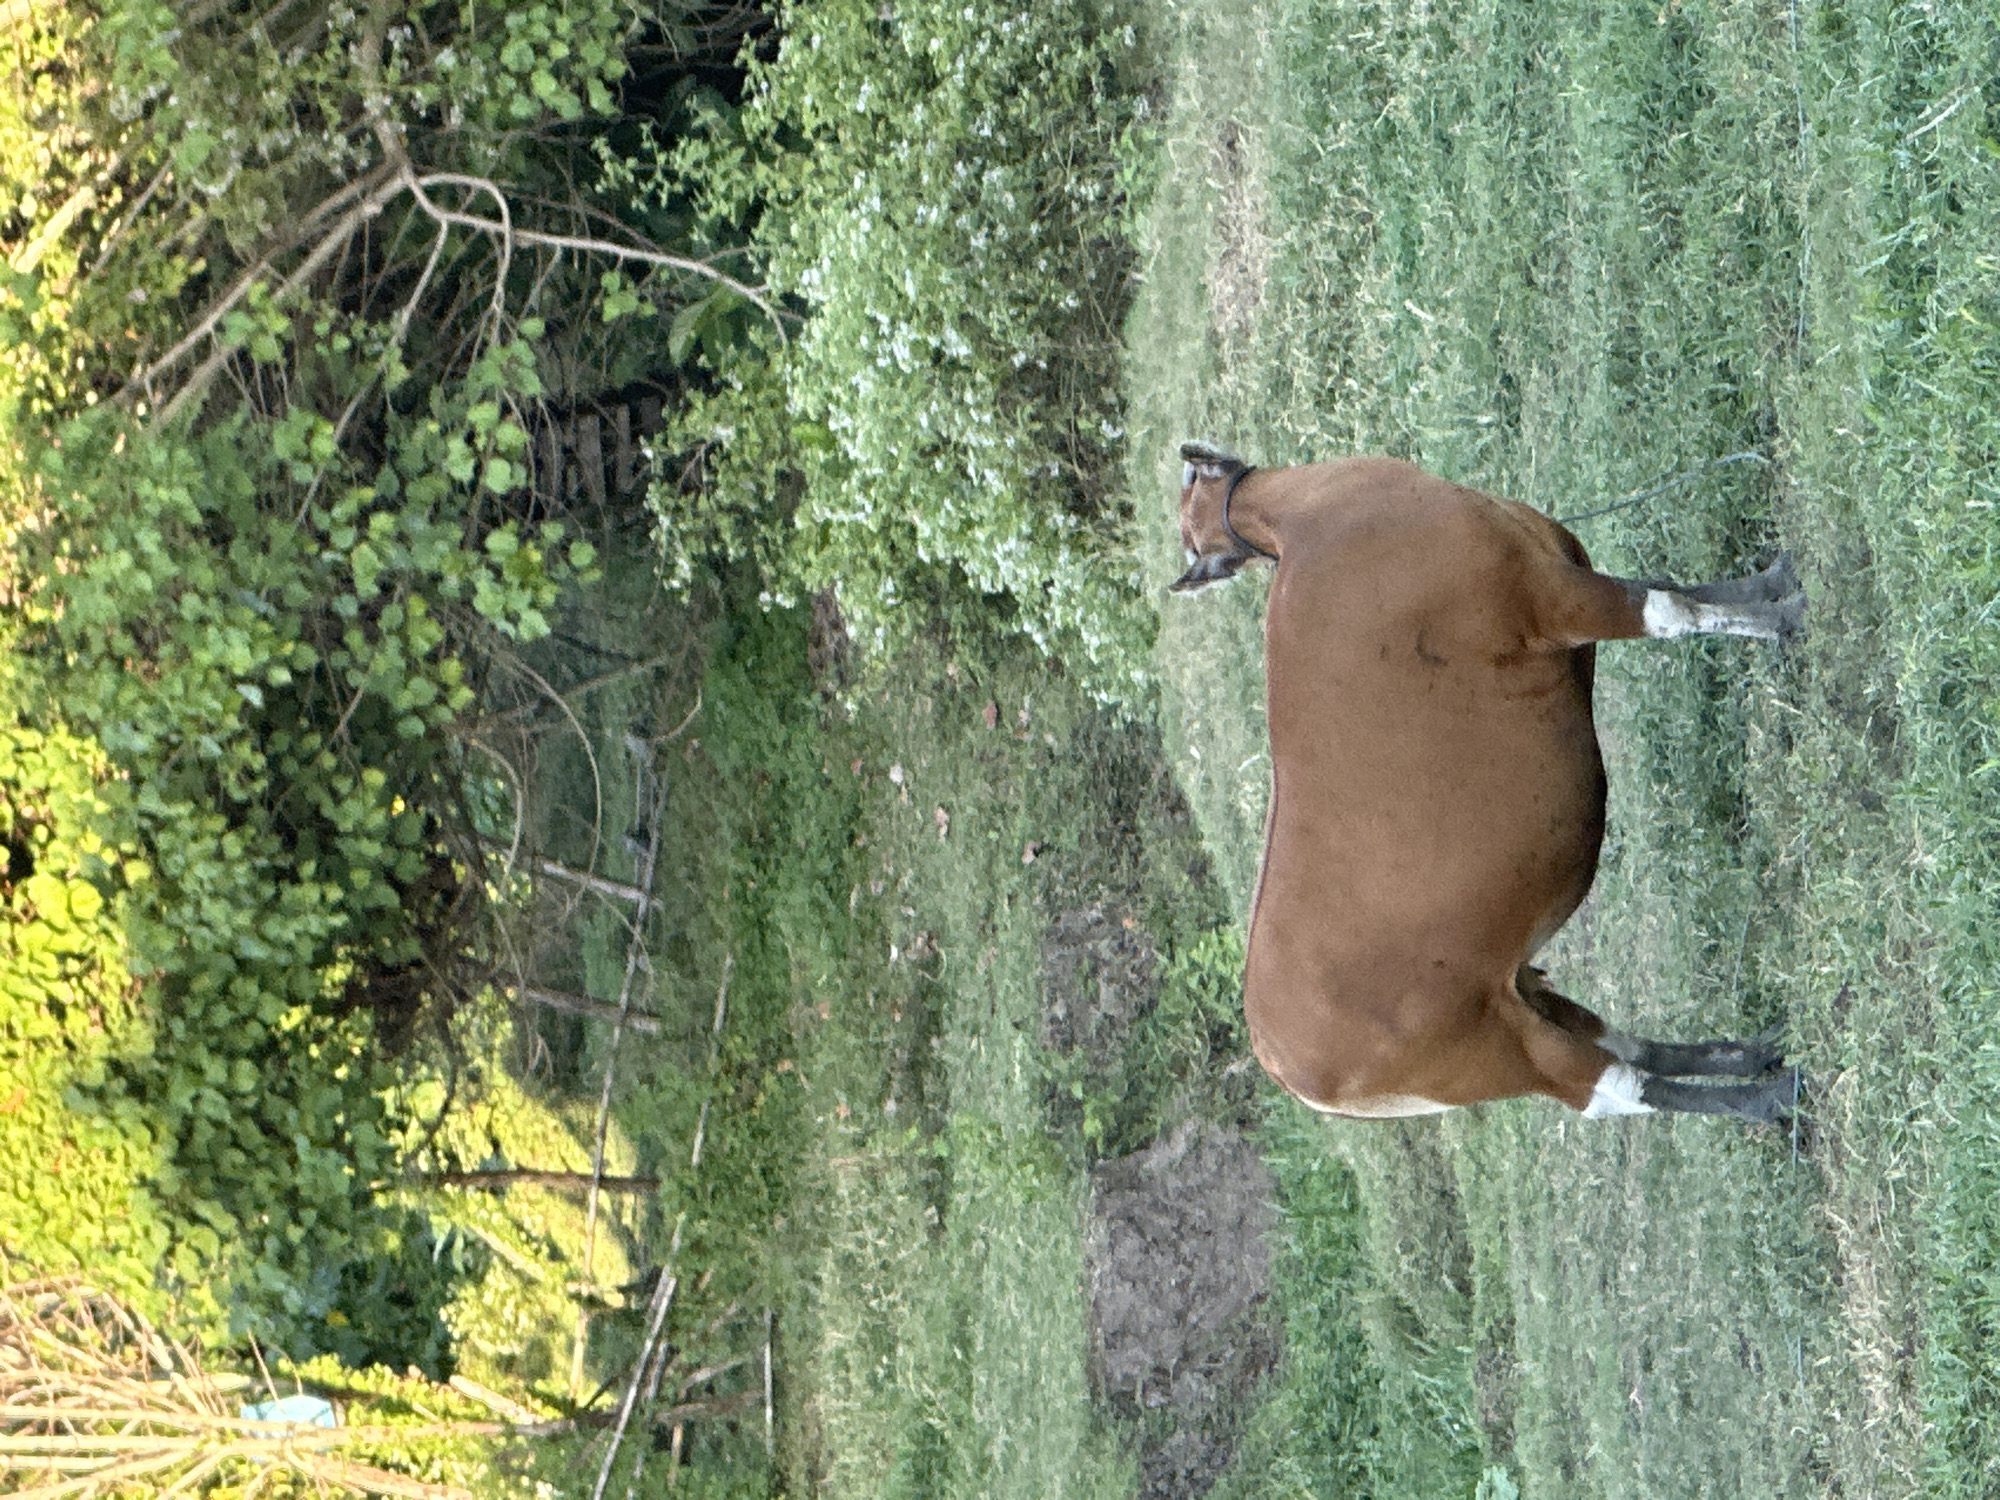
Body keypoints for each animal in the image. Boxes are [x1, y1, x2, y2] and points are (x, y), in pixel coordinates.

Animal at [1171, 442, 1803, 1123]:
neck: (1312, 519)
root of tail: (1283, 1064)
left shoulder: (1562, 568)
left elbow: (1673, 587)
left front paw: (1775, 582)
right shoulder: (1556, 598)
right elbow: (1671, 610)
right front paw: (1781, 618)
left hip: (1514, 990)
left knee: (1621, 1043)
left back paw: (1744, 1055)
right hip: (1489, 1054)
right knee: (1617, 1087)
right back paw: (1764, 1098)